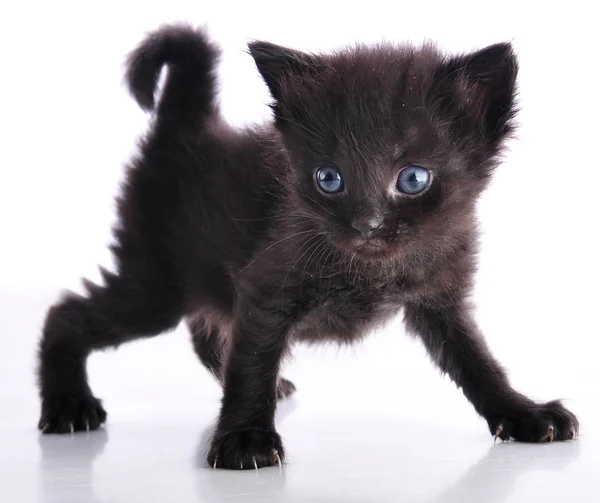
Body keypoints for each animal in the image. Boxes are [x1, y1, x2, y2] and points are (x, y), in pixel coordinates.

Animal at [36, 23, 576, 470]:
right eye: (328, 178)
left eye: (413, 179)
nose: (367, 225)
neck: (371, 270)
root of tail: (186, 124)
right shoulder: (266, 285)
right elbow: (251, 359)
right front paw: (244, 439)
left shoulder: (440, 298)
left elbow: (477, 361)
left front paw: (524, 413)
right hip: (155, 282)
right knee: (67, 312)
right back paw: (68, 406)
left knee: (206, 331)